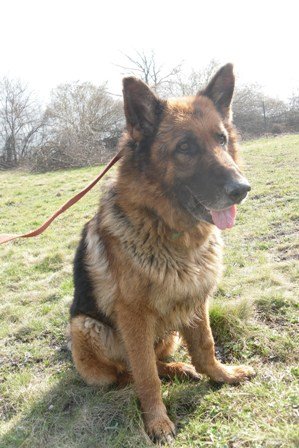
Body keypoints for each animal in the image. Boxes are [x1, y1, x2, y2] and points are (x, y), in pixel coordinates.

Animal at [69, 64, 255, 444]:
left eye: (221, 139)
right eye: (185, 147)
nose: (242, 189)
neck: (169, 230)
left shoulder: (195, 299)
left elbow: (206, 346)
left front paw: (221, 375)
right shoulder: (134, 318)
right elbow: (146, 378)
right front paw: (157, 422)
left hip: (168, 333)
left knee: (155, 361)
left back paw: (180, 368)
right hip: (86, 326)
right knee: (127, 372)